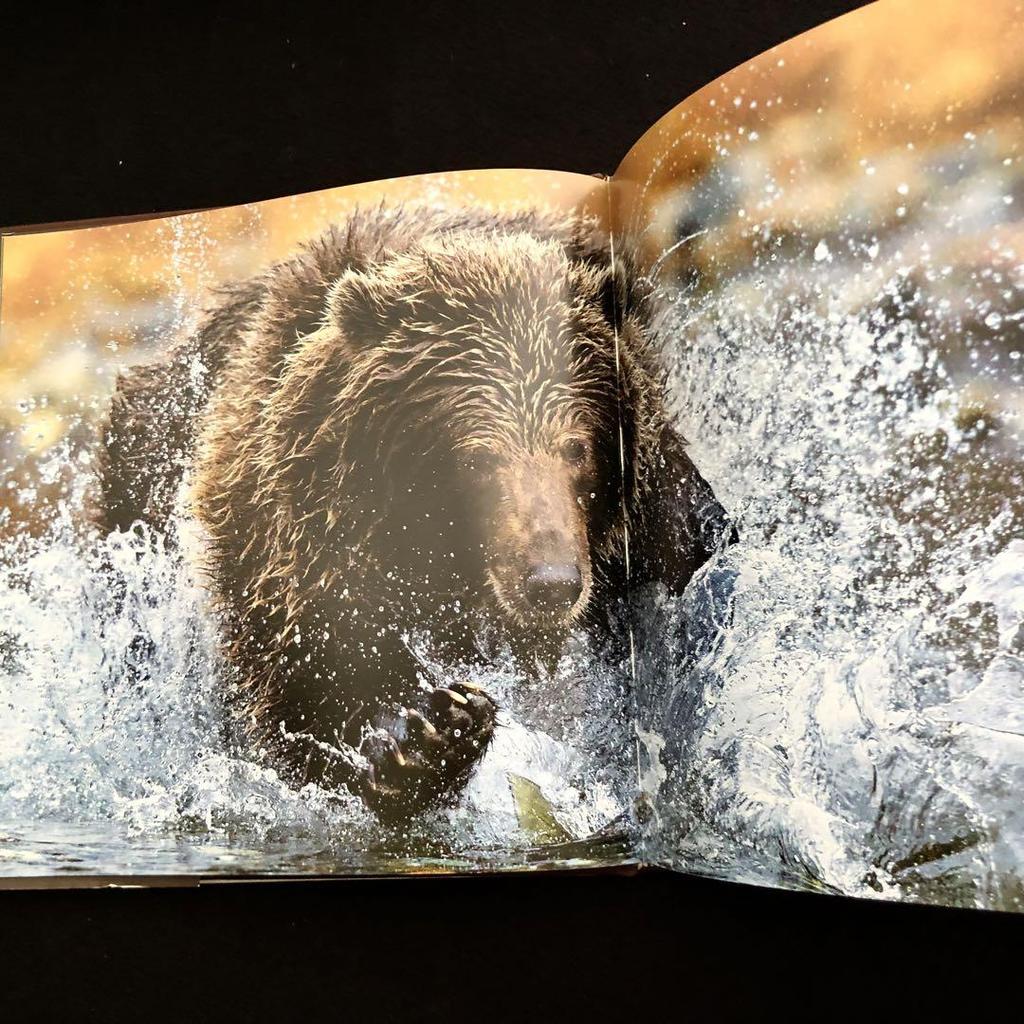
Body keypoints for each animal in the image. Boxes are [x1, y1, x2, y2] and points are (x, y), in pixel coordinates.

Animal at [96, 203, 732, 821]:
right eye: (478, 458)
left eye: (577, 448)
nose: (551, 582)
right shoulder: (291, 550)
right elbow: (307, 691)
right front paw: (431, 734)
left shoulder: (660, 517)